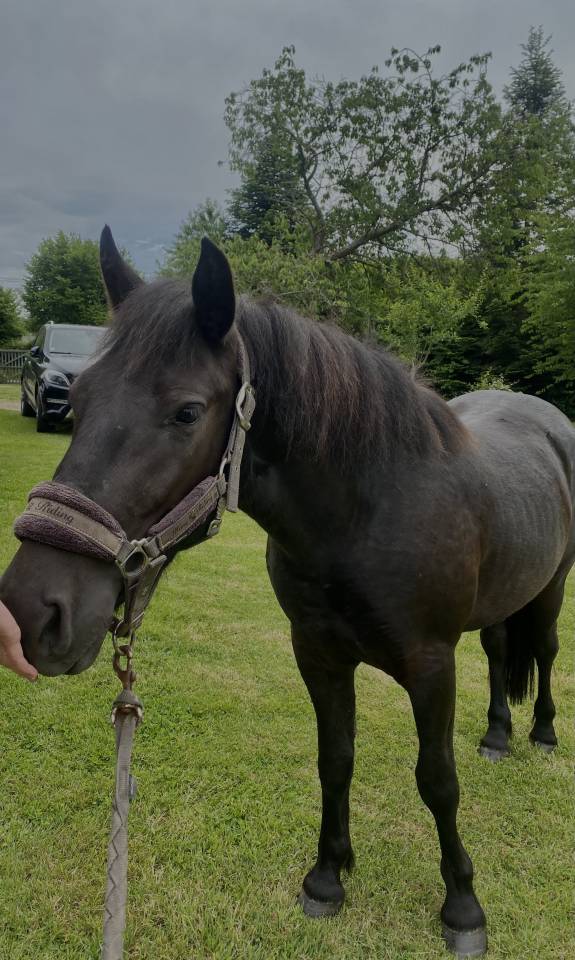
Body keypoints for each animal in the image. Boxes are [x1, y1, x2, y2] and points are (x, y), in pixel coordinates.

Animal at [1, 228, 574, 958]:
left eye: (187, 412)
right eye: (77, 400)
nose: (30, 612)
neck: (368, 510)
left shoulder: (430, 665)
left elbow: (437, 781)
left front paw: (462, 907)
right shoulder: (318, 655)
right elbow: (335, 760)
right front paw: (327, 879)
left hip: (551, 590)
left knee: (545, 653)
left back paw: (542, 733)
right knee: (501, 653)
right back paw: (499, 735)